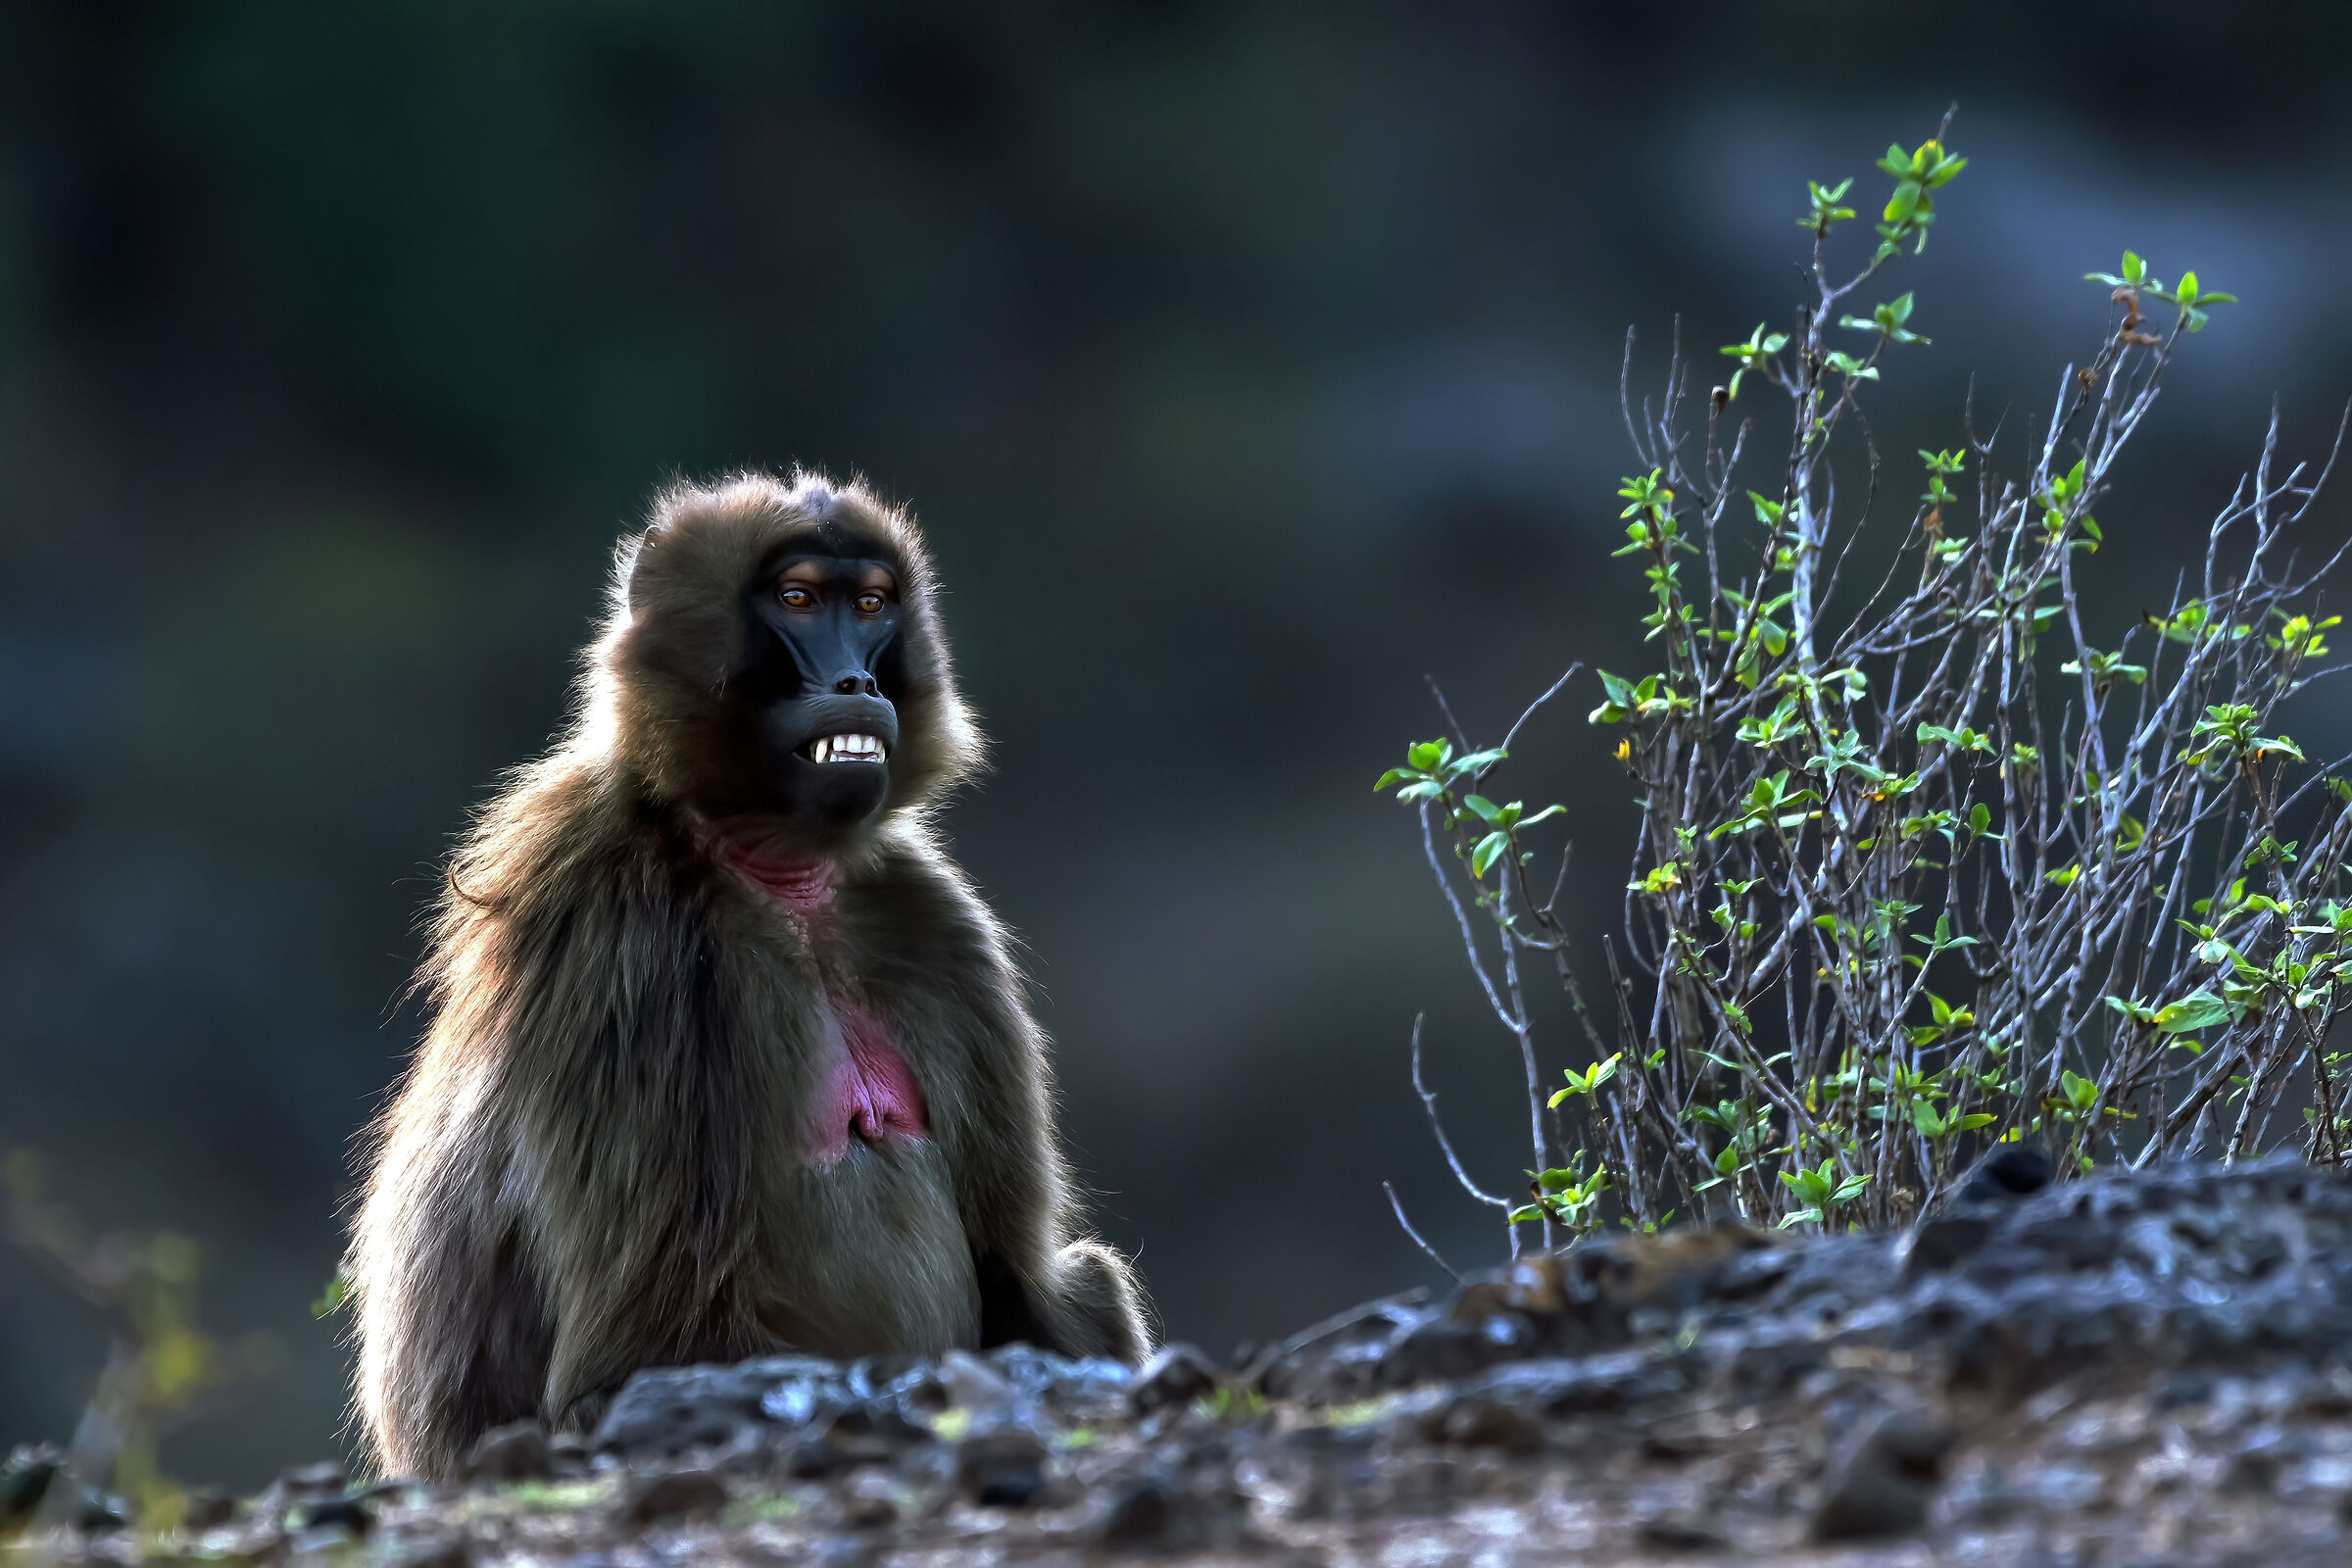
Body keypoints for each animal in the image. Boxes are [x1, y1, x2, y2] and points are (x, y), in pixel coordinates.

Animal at [346, 470, 1152, 1480]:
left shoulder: (933, 924)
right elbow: (636, 1360)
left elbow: (1028, 1286)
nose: (855, 682)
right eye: (798, 599)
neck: (774, 875)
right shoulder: (619, 938)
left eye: (871, 605)